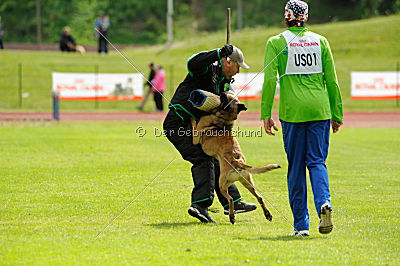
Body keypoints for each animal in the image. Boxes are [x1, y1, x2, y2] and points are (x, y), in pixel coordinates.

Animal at [191, 92, 282, 223]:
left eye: (228, 98)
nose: (223, 92)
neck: (224, 117)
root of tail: (237, 161)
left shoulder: (195, 137)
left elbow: (193, 124)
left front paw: (191, 117)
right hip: (247, 183)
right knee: (259, 197)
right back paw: (267, 214)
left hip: (222, 184)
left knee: (230, 199)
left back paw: (232, 216)